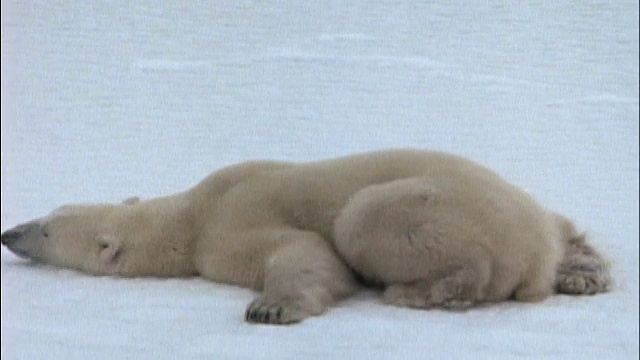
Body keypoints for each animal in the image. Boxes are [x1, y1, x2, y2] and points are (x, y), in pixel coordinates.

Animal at [0, 148, 608, 324]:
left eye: (48, 227)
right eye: (50, 211)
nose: (9, 232)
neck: (193, 212)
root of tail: (536, 253)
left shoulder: (229, 223)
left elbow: (305, 253)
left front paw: (269, 308)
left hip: (443, 208)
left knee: (366, 218)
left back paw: (414, 291)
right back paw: (584, 271)